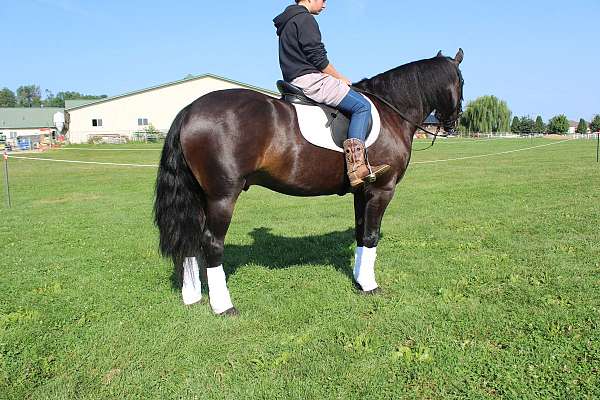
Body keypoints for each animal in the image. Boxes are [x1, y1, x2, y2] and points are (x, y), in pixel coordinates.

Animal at [154, 48, 464, 314]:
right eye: (461, 80)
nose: (453, 124)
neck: (391, 111)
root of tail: (190, 110)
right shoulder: (381, 189)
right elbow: (372, 236)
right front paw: (370, 286)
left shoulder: (362, 191)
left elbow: (361, 232)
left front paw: (359, 280)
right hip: (222, 196)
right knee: (211, 243)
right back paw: (223, 306)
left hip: (199, 194)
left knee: (190, 239)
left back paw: (192, 297)